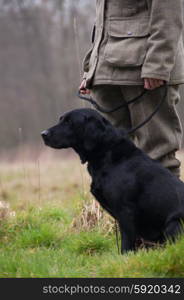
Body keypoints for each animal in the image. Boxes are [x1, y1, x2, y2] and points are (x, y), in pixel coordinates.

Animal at [41, 108, 184, 253]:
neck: (106, 153)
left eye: (69, 122)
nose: (43, 134)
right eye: (61, 119)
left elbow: (126, 241)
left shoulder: (125, 210)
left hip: (174, 223)